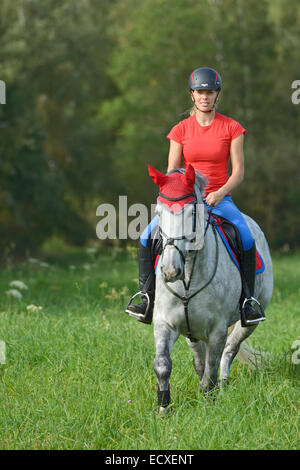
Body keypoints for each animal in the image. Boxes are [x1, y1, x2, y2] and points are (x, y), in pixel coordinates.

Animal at [149, 164, 274, 412]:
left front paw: (208, 404)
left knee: (229, 351)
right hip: (192, 332)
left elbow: (212, 367)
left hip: (248, 323)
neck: (188, 278)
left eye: (191, 212)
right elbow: (163, 364)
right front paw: (163, 409)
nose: (170, 271)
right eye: (159, 212)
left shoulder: (217, 330)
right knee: (200, 360)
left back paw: (223, 385)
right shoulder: (164, 323)